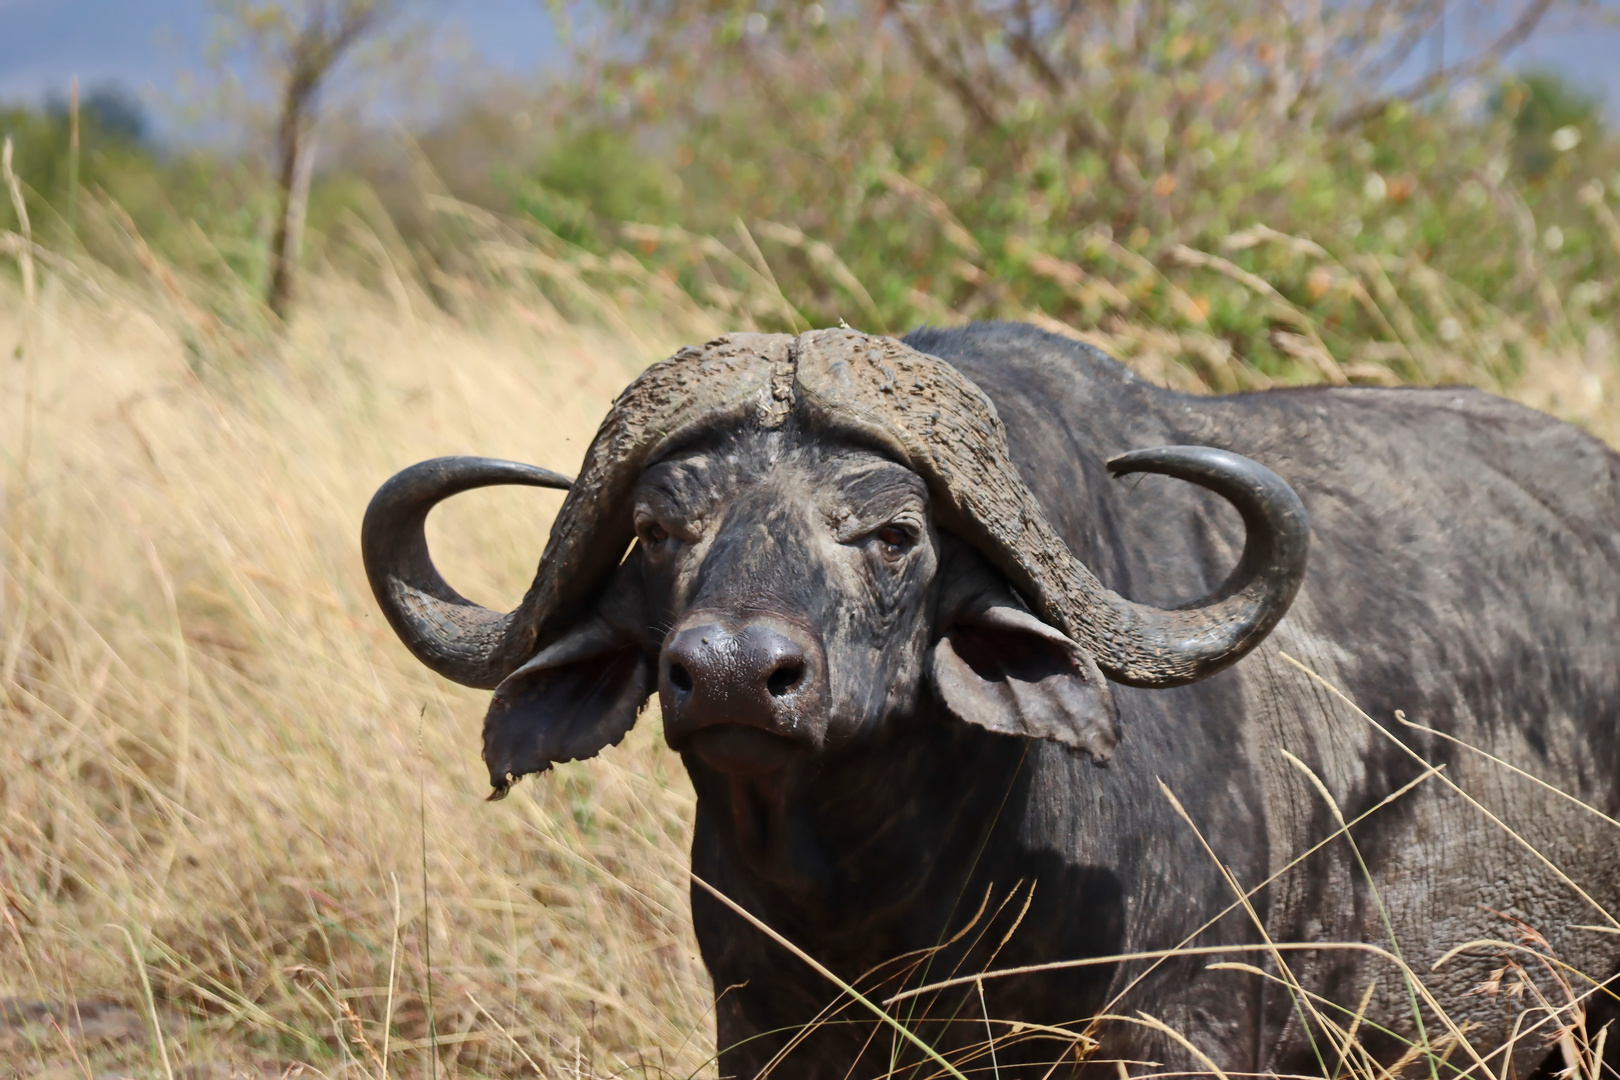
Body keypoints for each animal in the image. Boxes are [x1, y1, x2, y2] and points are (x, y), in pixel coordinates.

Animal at [361, 323, 1613, 1080]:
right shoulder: (758, 1028)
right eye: (661, 529)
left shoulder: (1179, 1028)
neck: (887, 897)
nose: (727, 674)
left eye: (894, 533)